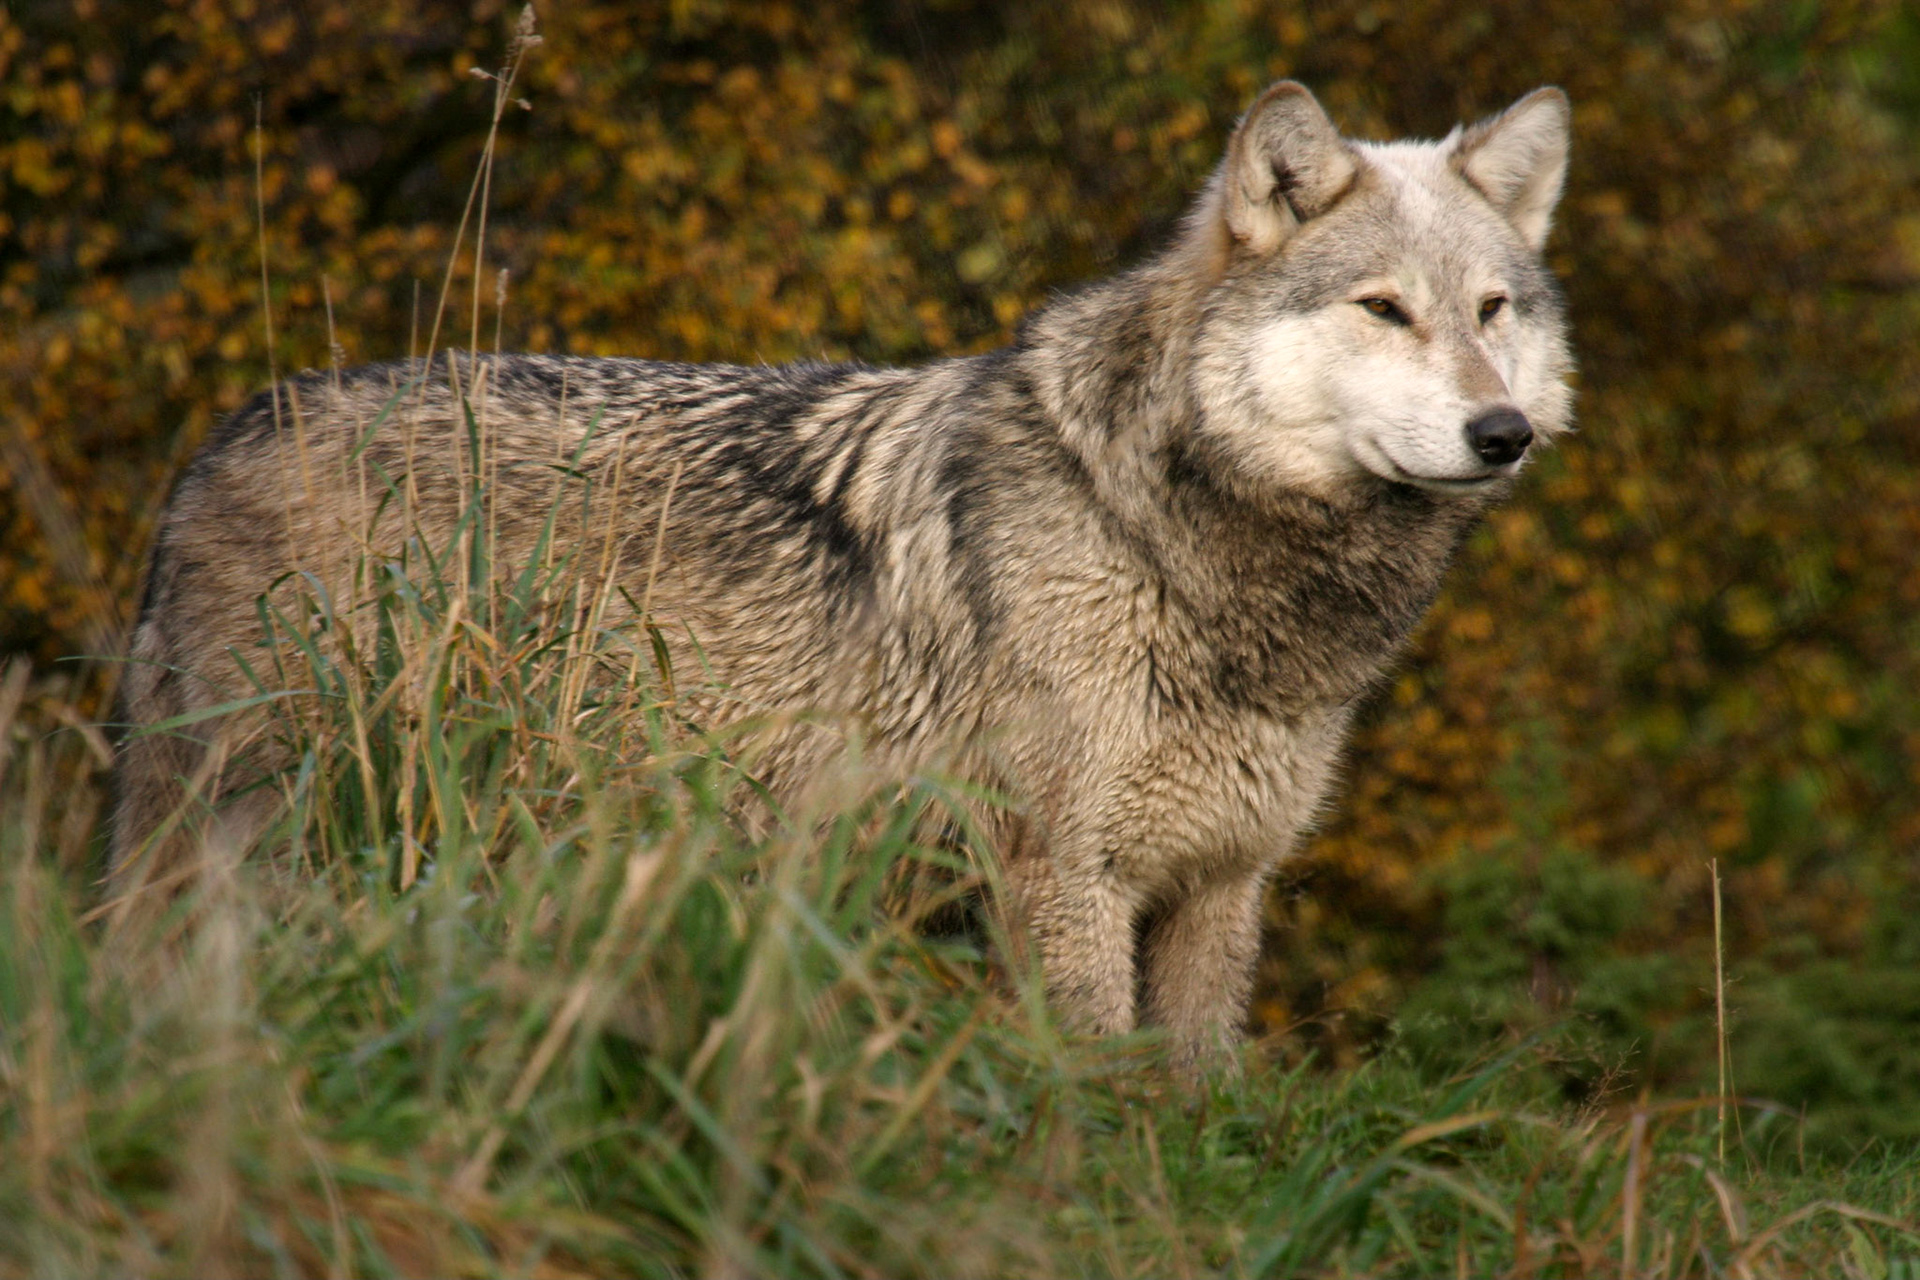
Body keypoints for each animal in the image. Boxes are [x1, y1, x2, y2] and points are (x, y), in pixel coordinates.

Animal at [113, 81, 1573, 1065]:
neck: (1174, 539)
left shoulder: (1222, 889)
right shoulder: (1066, 880)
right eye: (1383, 308)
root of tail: (221, 438)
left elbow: (1199, 1101)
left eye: (1493, 311)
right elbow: (1097, 1101)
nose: (1502, 432)